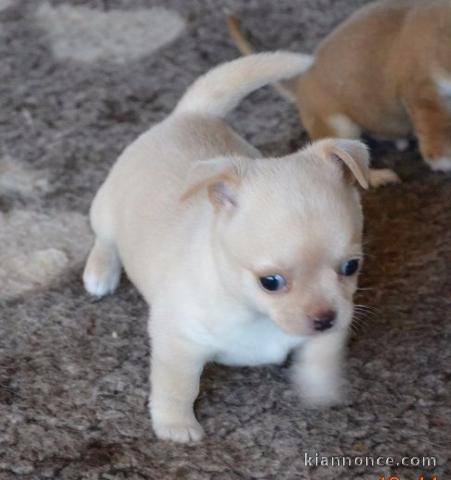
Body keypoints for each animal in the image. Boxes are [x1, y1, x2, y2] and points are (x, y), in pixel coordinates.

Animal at [84, 52, 370, 442]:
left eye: (351, 267)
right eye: (270, 282)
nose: (325, 318)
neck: (254, 313)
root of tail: (190, 113)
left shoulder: (331, 322)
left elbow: (321, 353)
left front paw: (320, 386)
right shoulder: (177, 339)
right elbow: (177, 385)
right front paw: (176, 425)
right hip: (107, 210)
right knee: (105, 239)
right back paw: (100, 272)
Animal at [228, 0, 451, 182]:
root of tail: (302, 80)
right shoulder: (423, 93)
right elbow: (435, 133)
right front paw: (443, 161)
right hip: (341, 127)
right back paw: (378, 176)